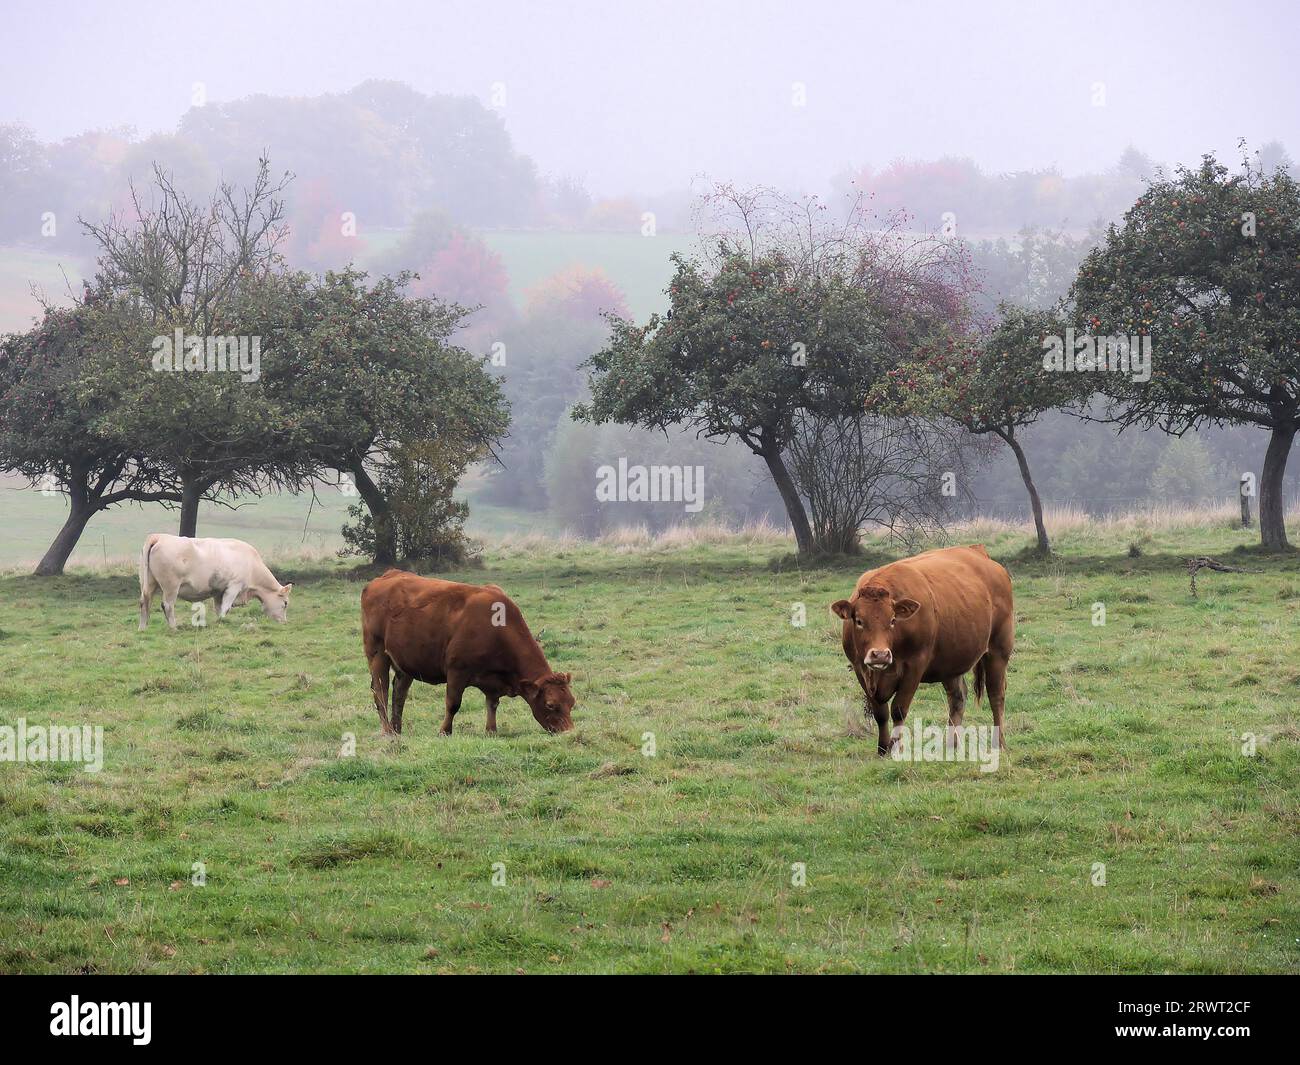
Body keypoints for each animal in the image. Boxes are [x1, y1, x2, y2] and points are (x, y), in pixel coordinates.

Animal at [140, 533, 297, 631]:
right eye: (285, 603)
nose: (284, 622)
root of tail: (159, 537)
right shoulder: (234, 587)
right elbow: (225, 608)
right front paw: (222, 621)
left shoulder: (218, 592)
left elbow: (218, 608)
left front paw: (219, 622)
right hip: (171, 586)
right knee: (167, 605)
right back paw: (174, 627)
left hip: (149, 584)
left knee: (144, 602)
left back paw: (142, 627)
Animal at [361, 569, 574, 738]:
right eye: (550, 705)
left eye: (571, 703)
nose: (569, 732)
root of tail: (386, 576)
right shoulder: (457, 671)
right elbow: (453, 704)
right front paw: (444, 731)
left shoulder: (493, 681)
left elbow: (492, 704)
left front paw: (491, 730)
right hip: (377, 654)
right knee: (380, 691)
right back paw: (388, 731)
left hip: (406, 661)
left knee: (399, 692)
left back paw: (398, 729)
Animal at [832, 546, 1013, 754]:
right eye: (859, 621)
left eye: (892, 620)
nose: (880, 655)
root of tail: (979, 552)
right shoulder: (860, 669)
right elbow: (880, 713)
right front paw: (883, 749)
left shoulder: (915, 666)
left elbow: (898, 709)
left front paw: (896, 748)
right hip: (950, 662)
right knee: (958, 698)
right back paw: (951, 744)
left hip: (999, 650)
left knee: (996, 695)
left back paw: (999, 743)